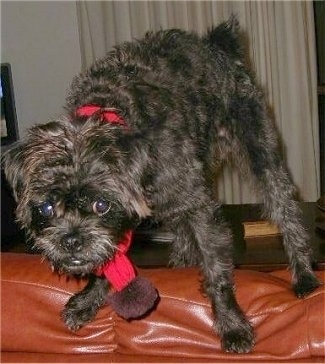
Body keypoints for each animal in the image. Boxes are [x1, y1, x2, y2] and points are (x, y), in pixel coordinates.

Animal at [3, 17, 320, 352]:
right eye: (47, 208)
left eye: (101, 205)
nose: (71, 242)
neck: (110, 109)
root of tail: (216, 43)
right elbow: (112, 255)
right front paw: (89, 299)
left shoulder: (198, 205)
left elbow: (216, 269)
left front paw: (232, 324)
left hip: (261, 154)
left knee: (285, 210)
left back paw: (303, 276)